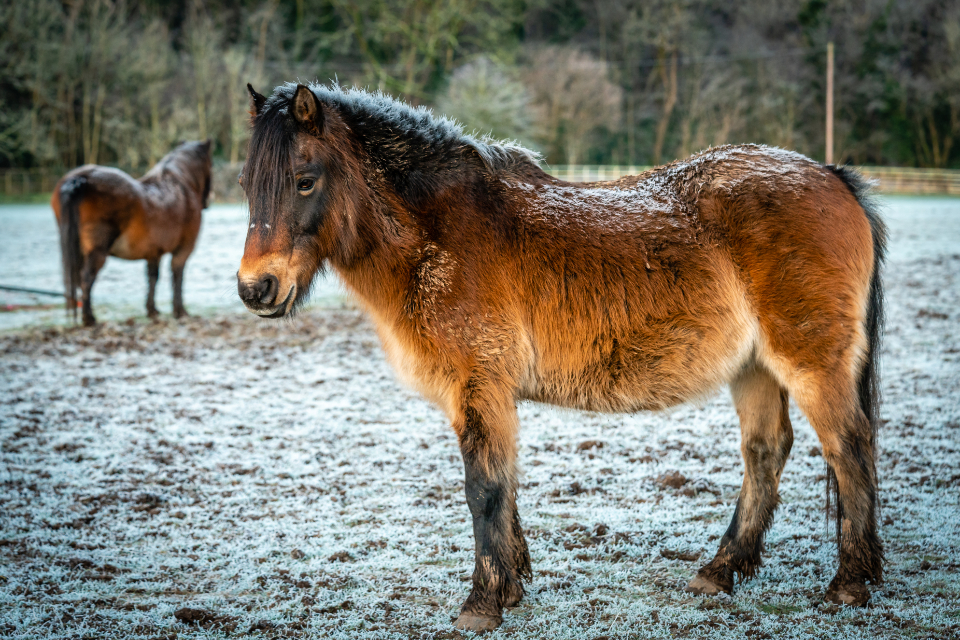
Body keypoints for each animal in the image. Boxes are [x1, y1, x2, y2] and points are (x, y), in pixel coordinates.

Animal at [52, 140, 213, 326]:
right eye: (211, 164)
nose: (208, 200)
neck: (180, 186)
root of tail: (80, 179)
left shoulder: (153, 253)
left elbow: (153, 278)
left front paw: (152, 310)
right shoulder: (183, 250)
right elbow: (177, 278)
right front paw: (180, 312)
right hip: (96, 252)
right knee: (86, 279)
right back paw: (89, 318)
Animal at [237, 83, 886, 632]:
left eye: (304, 180)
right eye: (246, 184)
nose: (256, 288)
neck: (437, 235)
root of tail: (831, 176)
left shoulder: (479, 386)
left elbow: (483, 489)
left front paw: (481, 605)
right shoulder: (489, 394)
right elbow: (504, 485)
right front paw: (512, 586)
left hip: (811, 363)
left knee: (848, 448)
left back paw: (848, 585)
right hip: (753, 369)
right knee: (765, 452)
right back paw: (719, 571)